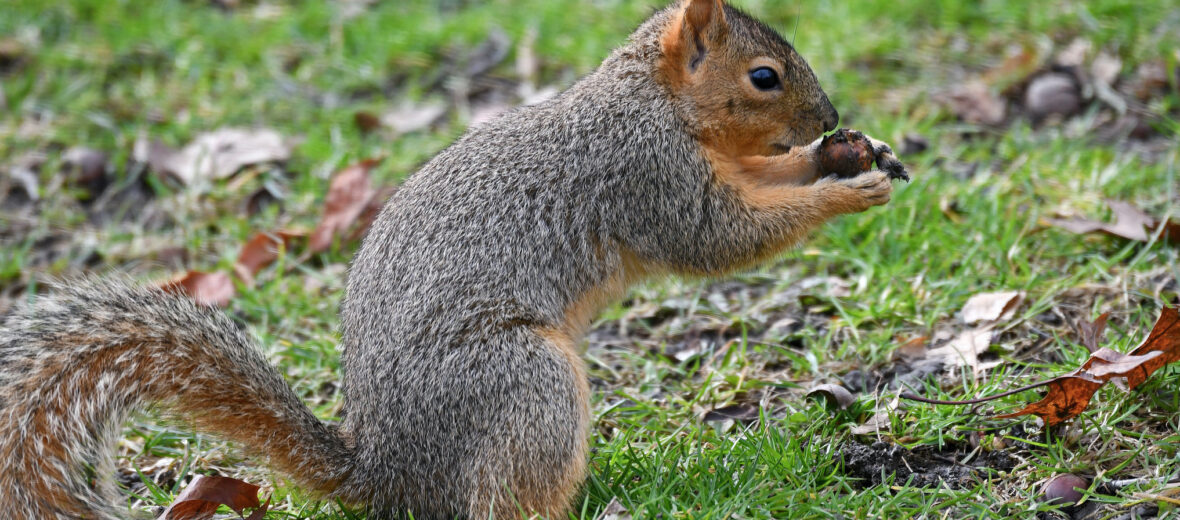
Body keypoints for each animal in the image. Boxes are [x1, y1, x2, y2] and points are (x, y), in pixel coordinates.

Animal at [0, 0, 906, 516]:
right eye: (764, 77)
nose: (828, 116)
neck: (651, 99)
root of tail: (388, 477)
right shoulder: (647, 174)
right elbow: (721, 238)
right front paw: (847, 191)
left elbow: (762, 187)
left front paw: (845, 156)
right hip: (524, 383)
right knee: (501, 499)